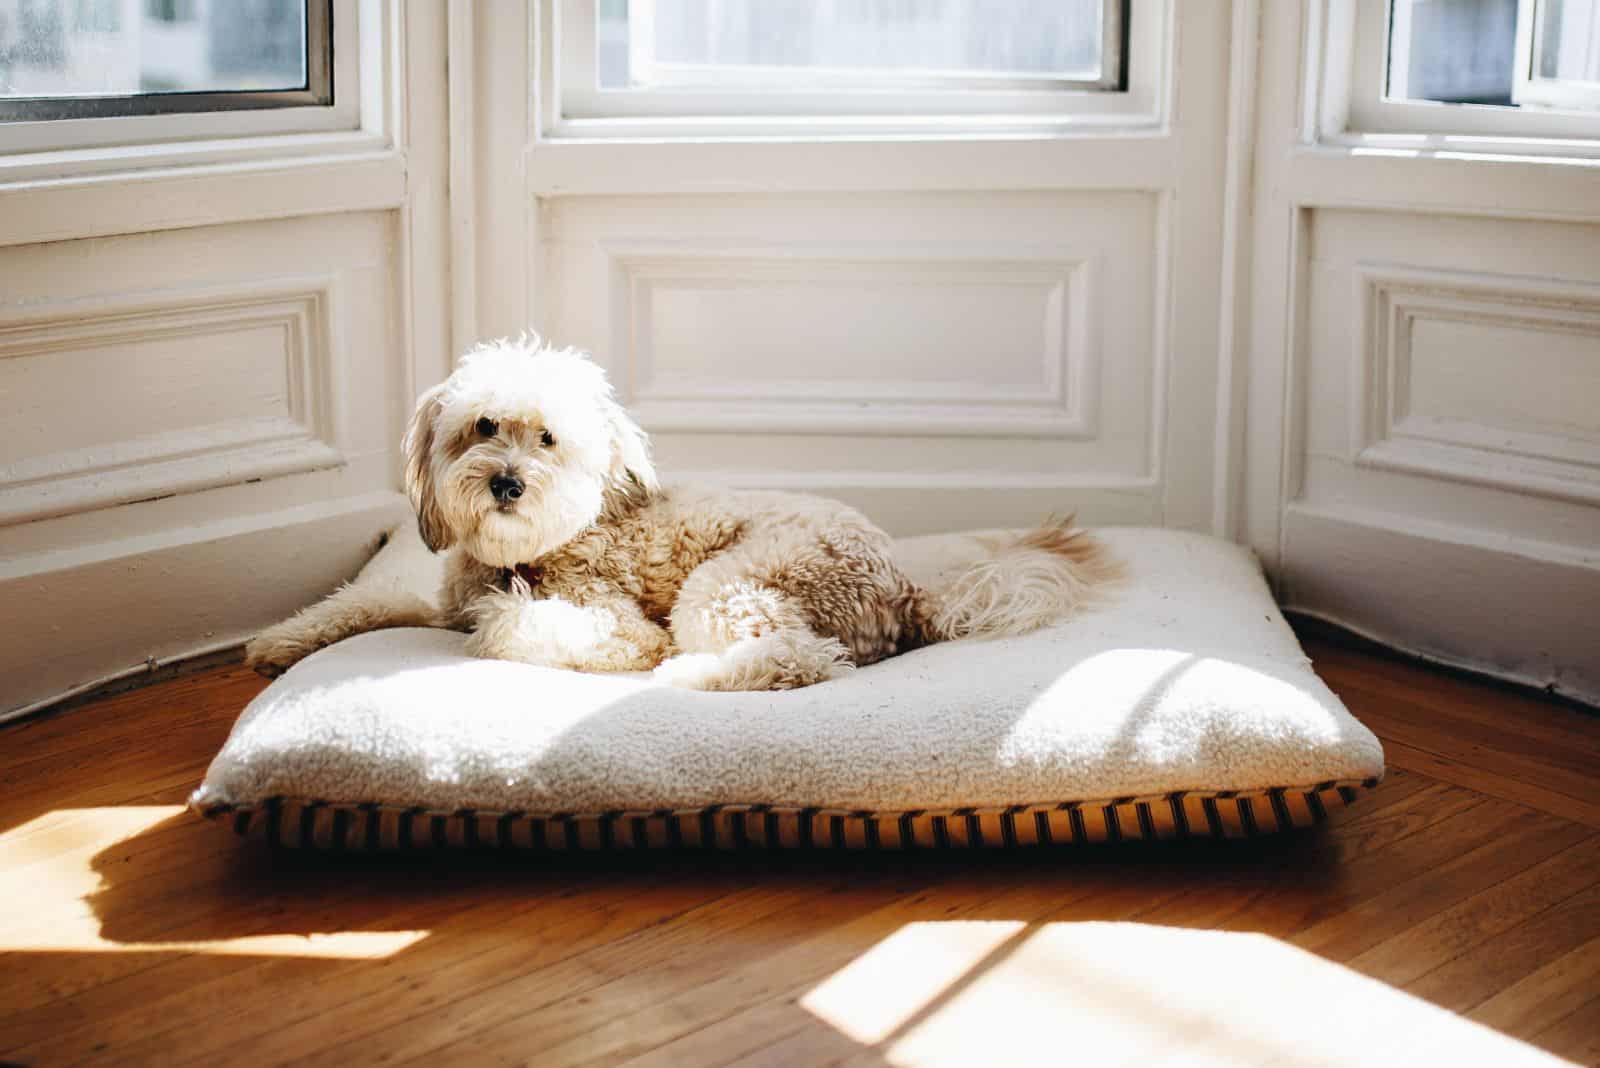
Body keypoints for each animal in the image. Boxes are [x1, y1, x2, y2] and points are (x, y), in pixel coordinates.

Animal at [252, 334, 1126, 687]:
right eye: (484, 427)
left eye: (548, 439)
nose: (505, 482)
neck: (528, 553)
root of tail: (905, 587)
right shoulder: (436, 602)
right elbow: (364, 603)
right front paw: (279, 641)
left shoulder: (611, 621)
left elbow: (515, 626)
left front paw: (517, 621)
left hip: (729, 585)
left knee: (798, 660)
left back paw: (688, 676)